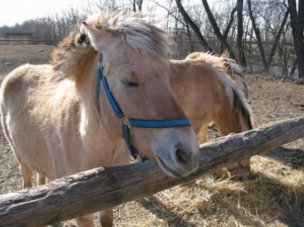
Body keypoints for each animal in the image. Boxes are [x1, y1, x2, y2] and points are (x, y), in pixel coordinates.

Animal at [0, 12, 200, 227]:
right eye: (129, 81)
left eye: (168, 75)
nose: (187, 154)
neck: (87, 140)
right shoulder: (82, 212)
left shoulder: (108, 196)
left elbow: (106, 219)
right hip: (21, 159)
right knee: (27, 182)